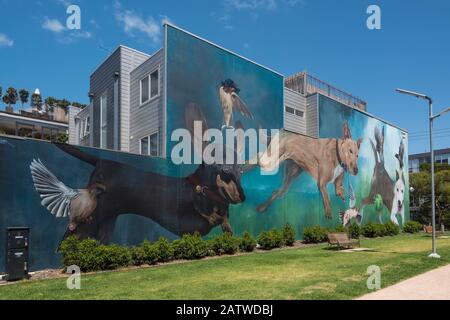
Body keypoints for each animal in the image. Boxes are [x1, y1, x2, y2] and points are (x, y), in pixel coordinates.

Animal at [29, 104, 248, 244]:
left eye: (241, 170)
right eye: (225, 171)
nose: (243, 196)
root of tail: (103, 161)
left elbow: (226, 224)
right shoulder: (196, 220)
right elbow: (211, 216)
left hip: (106, 223)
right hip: (89, 220)